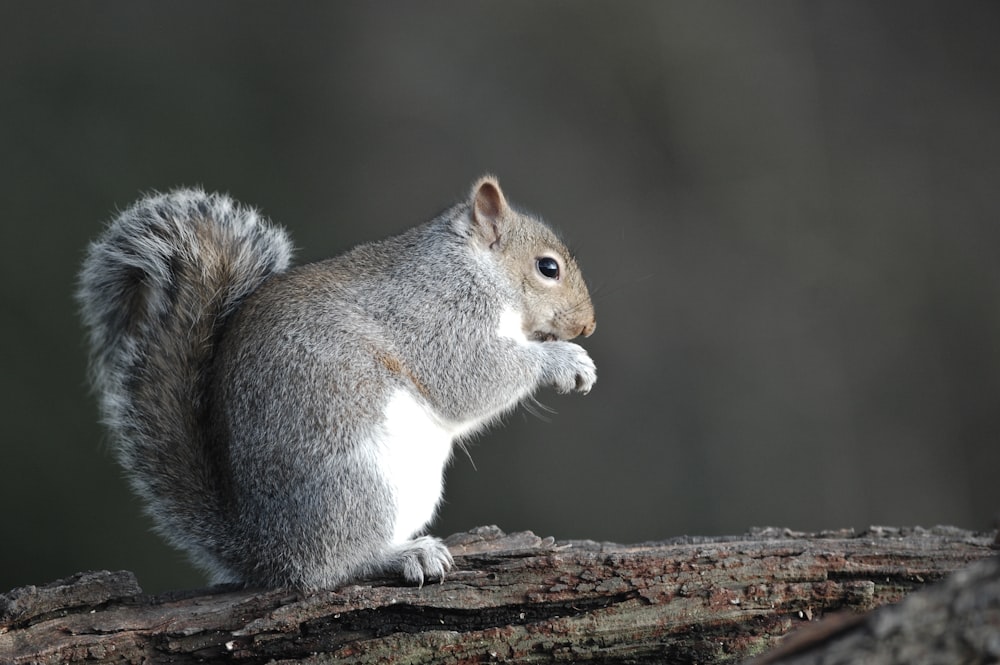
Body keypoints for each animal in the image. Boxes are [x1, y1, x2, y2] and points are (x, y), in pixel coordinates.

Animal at [78, 175, 596, 588]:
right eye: (548, 267)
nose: (588, 326)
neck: (471, 267)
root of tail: (265, 550)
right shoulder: (435, 317)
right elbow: (470, 377)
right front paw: (563, 361)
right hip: (357, 483)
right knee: (329, 569)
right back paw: (400, 555)